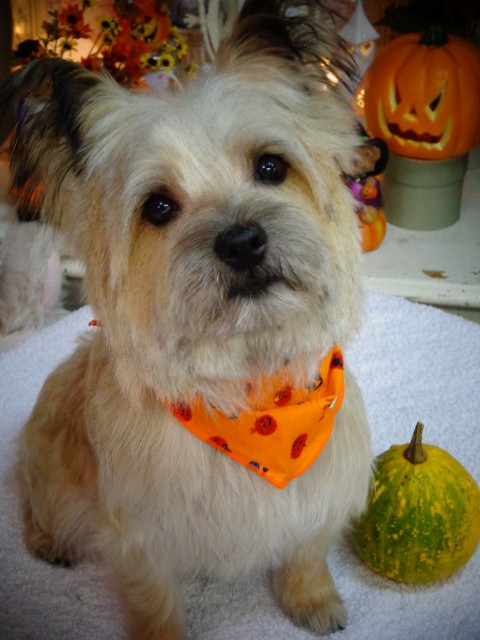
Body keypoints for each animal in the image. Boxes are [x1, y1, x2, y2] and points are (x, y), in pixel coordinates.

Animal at [1, 1, 372, 637]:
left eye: (270, 166)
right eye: (158, 207)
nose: (243, 242)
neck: (250, 398)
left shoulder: (320, 491)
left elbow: (306, 549)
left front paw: (313, 599)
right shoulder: (138, 539)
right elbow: (153, 603)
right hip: (48, 465)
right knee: (35, 499)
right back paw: (49, 540)